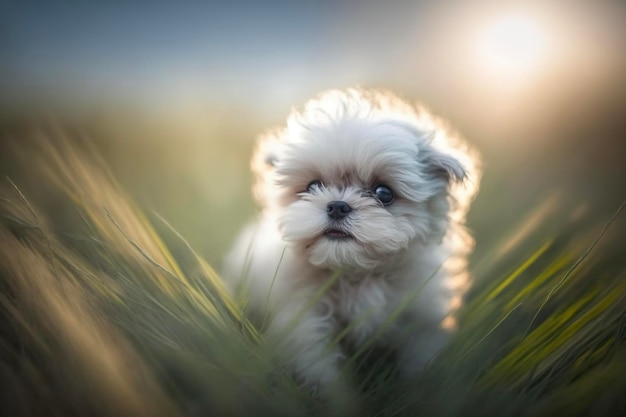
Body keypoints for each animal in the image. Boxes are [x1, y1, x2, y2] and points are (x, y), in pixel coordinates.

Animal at [222, 88, 480, 400]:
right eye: (312, 186)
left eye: (383, 193)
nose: (337, 206)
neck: (357, 273)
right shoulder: (305, 319)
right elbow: (317, 367)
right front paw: (333, 400)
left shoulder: (421, 320)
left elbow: (421, 363)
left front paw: (423, 391)